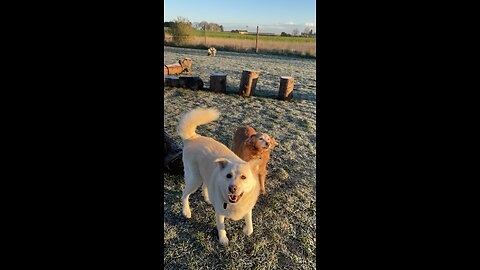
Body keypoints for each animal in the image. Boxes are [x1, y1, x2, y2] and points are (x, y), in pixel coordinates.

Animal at [177, 107, 260, 247]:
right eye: (228, 175)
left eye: (244, 177)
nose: (232, 188)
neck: (235, 204)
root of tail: (192, 137)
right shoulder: (220, 212)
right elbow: (221, 227)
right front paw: (223, 239)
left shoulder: (247, 207)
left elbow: (249, 222)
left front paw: (247, 229)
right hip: (194, 179)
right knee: (184, 194)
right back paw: (186, 211)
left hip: (203, 175)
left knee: (205, 186)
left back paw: (208, 199)